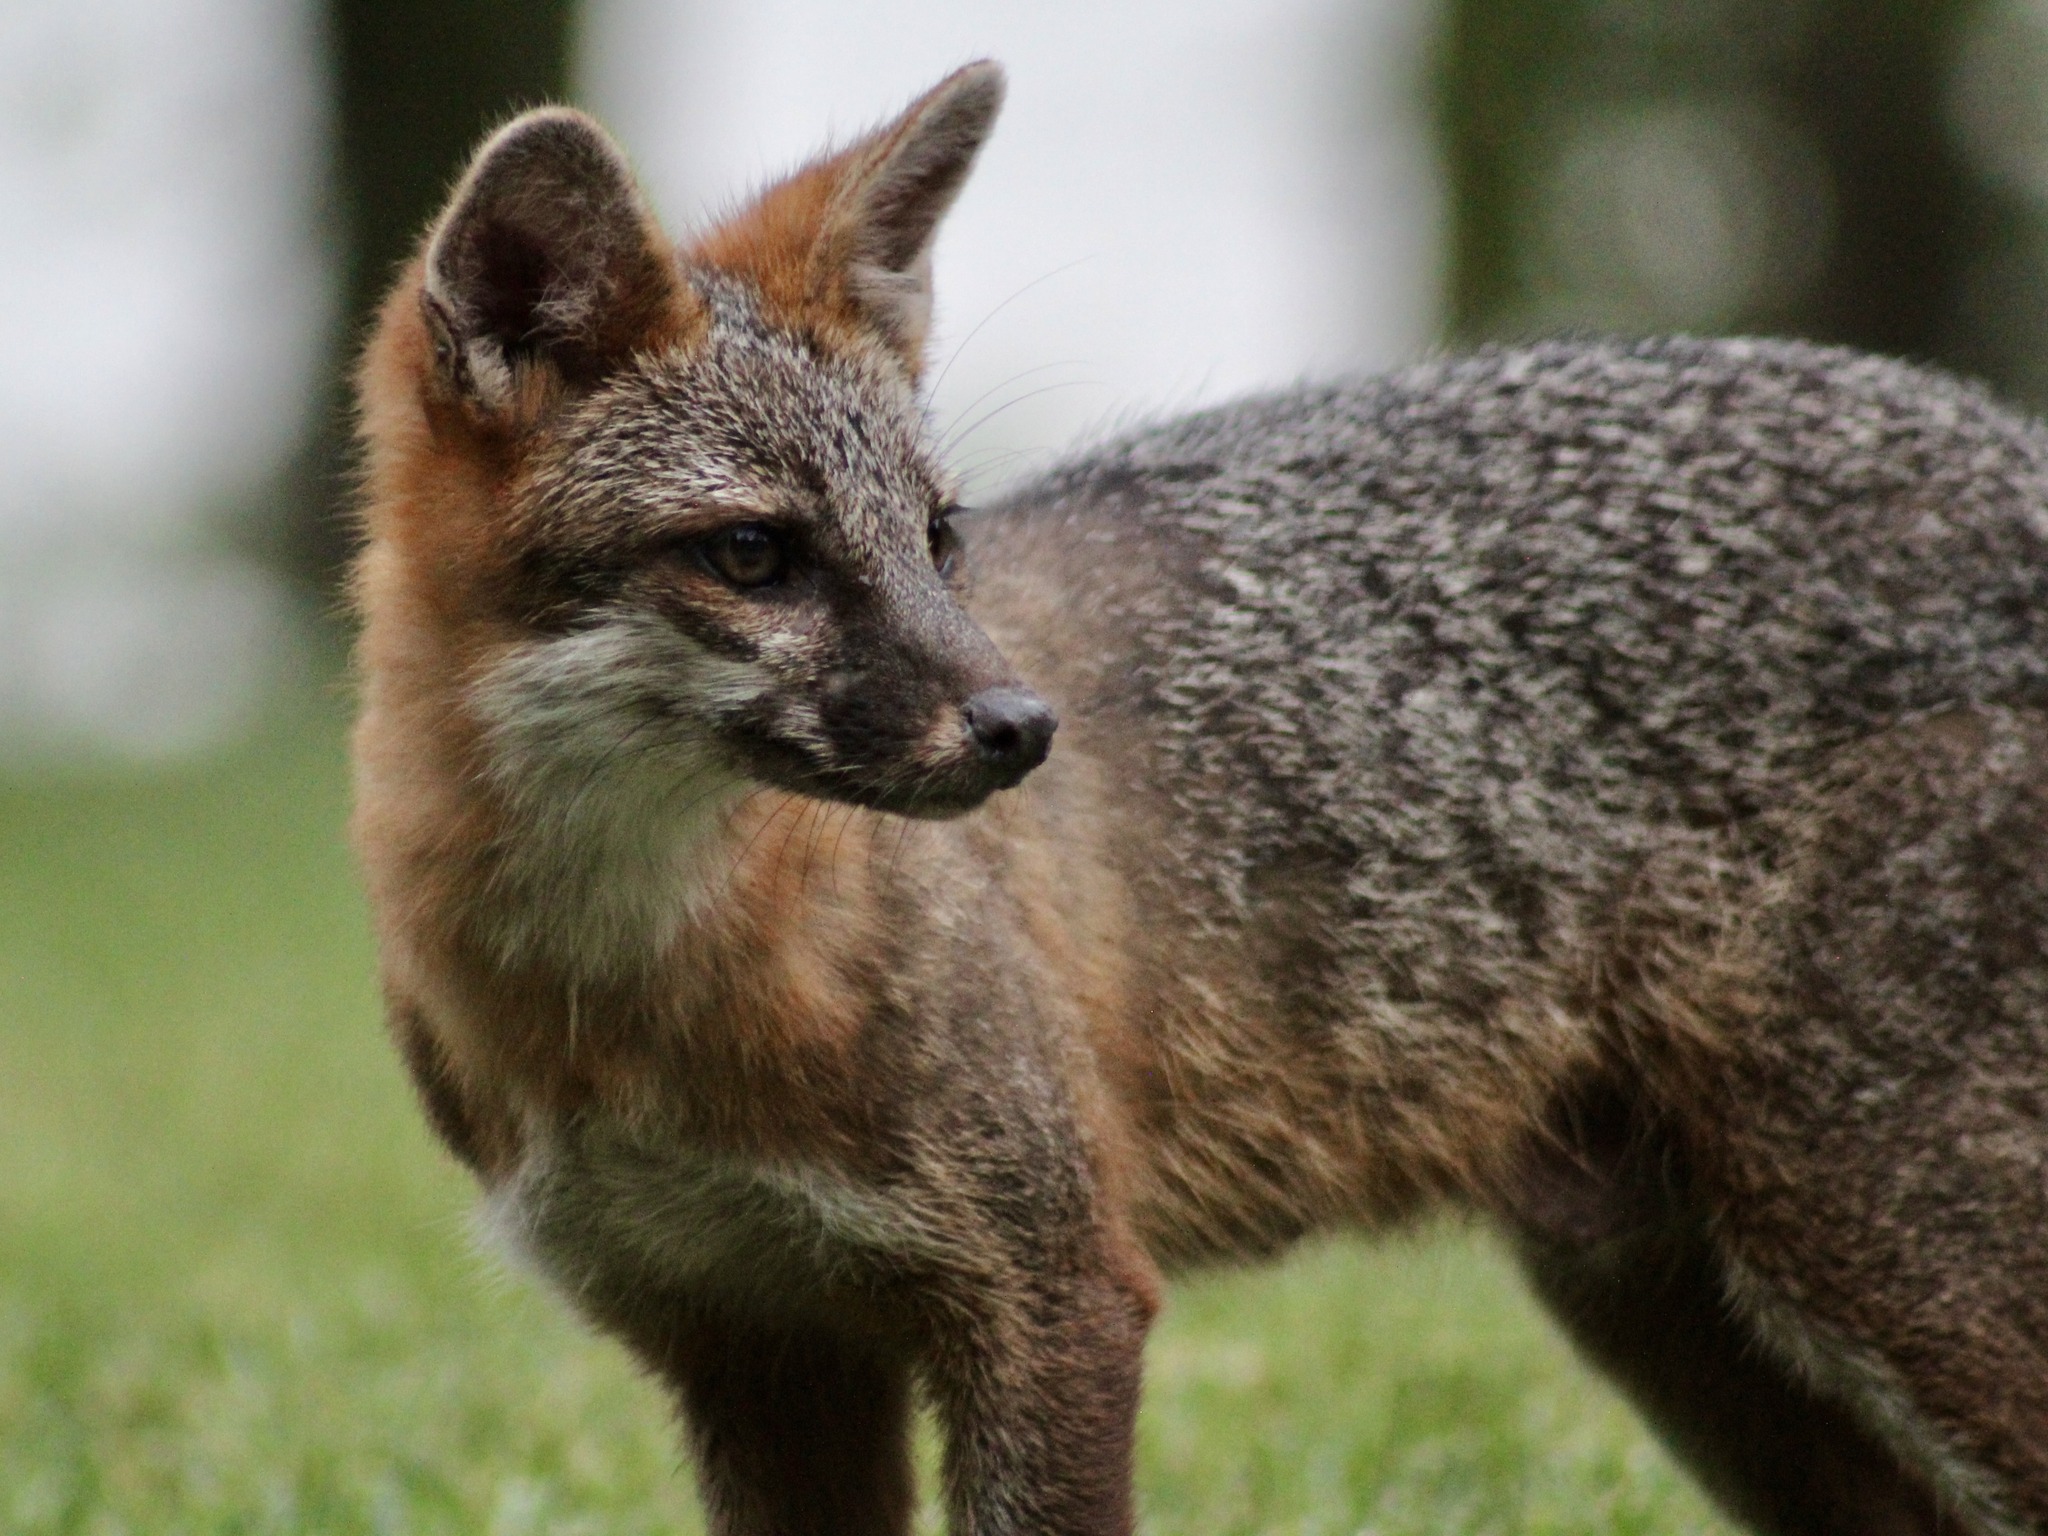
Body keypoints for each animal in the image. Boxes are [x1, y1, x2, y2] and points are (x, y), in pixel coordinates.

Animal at [350, 59, 2048, 1536]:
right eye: (754, 555)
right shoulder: (754, 1342)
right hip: (1688, 1321)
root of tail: (2006, 437)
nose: (1021, 728)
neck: (627, 1002)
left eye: (939, 537)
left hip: (1874, 1256)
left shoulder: (1050, 1291)